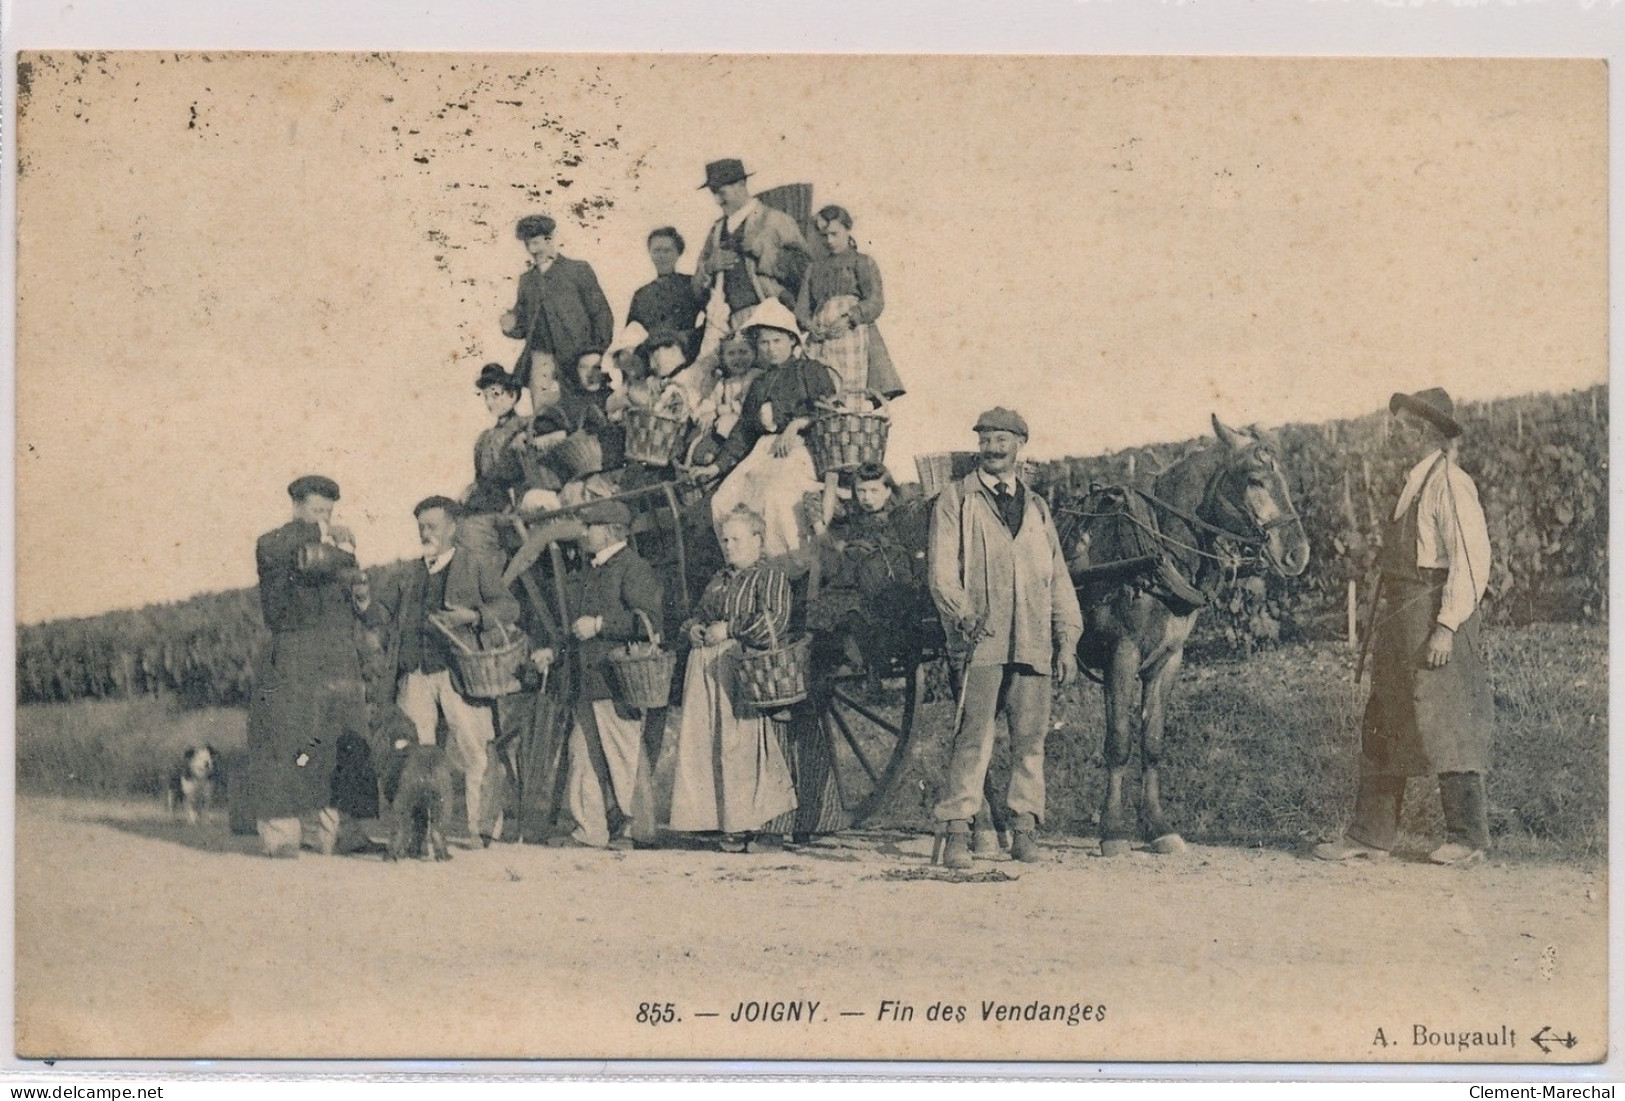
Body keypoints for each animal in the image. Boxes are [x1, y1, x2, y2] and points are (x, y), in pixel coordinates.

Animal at [1059, 418, 1313, 857]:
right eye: (1254, 479)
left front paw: (1158, 827)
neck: (1154, 553)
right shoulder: (1120, 654)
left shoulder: (1169, 658)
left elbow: (1153, 741)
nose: (1298, 554)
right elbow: (1119, 742)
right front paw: (1112, 830)